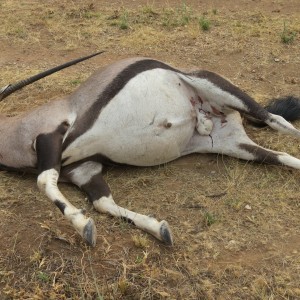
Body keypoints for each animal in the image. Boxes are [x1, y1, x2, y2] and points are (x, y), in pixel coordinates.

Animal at [0, 52, 300, 246]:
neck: (14, 130)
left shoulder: (51, 139)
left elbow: (43, 182)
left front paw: (82, 225)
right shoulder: (84, 170)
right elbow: (103, 203)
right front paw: (160, 230)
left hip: (220, 89)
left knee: (278, 121)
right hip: (233, 144)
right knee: (281, 156)